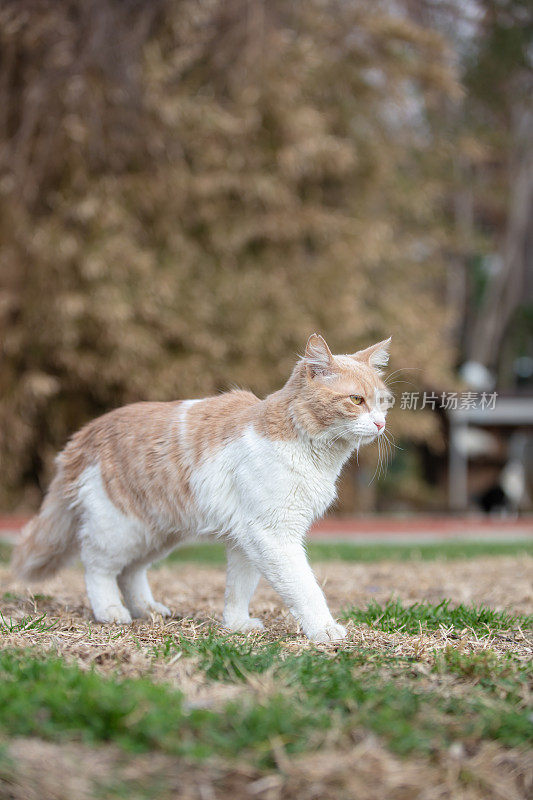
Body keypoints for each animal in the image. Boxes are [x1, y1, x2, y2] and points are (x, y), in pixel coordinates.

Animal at [13, 334, 390, 640]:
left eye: (382, 402)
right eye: (357, 400)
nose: (380, 423)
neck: (312, 451)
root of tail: (86, 431)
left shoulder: (248, 540)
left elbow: (239, 589)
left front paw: (237, 624)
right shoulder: (273, 535)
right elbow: (304, 588)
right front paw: (324, 629)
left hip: (156, 534)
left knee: (130, 572)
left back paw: (146, 609)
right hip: (119, 529)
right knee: (98, 568)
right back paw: (110, 611)